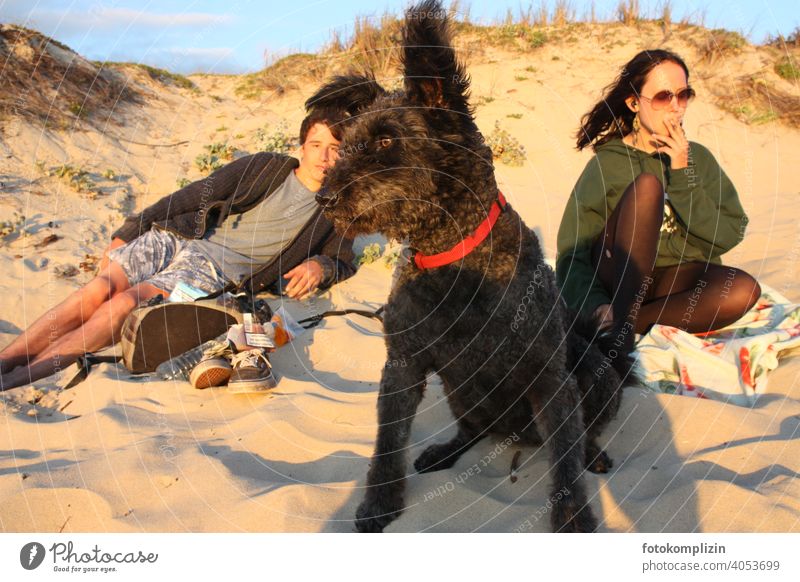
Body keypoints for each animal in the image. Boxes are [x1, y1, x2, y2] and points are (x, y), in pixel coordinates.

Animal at [310, 0, 636, 536]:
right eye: (348, 143)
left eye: (386, 141)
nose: (324, 197)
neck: (451, 257)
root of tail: (519, 437)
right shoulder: (402, 366)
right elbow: (386, 444)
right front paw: (379, 503)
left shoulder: (551, 376)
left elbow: (566, 461)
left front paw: (573, 516)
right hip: (461, 393)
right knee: (473, 430)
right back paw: (444, 451)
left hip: (591, 371)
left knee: (578, 437)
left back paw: (595, 454)